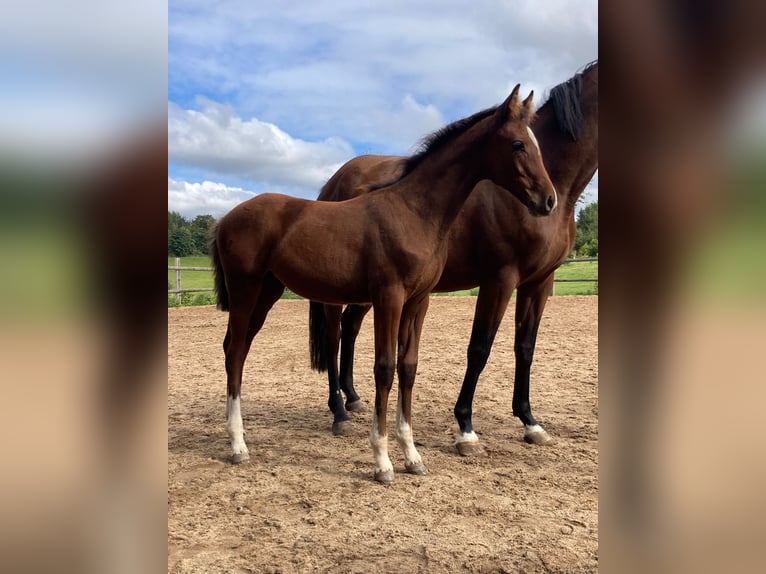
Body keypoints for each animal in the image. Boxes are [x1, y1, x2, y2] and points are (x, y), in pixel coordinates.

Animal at [210, 85, 557, 483]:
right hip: (245, 290)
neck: (414, 212)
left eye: (537, 144)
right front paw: (382, 461)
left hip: (267, 292)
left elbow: (408, 367)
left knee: (236, 349)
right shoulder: (388, 298)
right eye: (518, 144)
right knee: (236, 352)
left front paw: (412, 456)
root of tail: (226, 217)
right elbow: (384, 367)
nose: (548, 200)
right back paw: (238, 445)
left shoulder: (418, 301)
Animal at [309, 61, 598, 453]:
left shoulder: (539, 281)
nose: (546, 200)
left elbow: (525, 348)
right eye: (518, 145)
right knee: (334, 336)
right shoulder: (500, 278)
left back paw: (352, 397)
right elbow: (479, 348)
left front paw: (530, 421)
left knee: (351, 328)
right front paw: (465, 428)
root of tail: (333, 183)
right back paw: (338, 411)